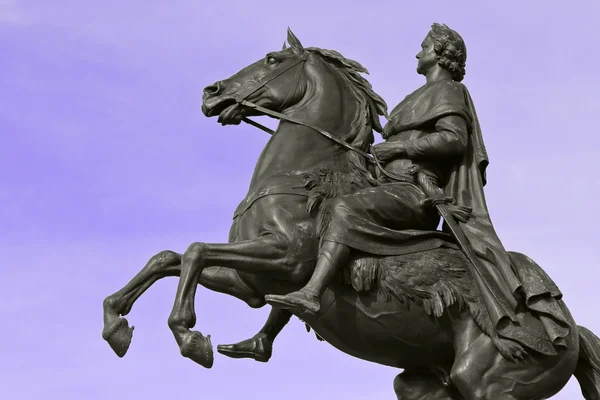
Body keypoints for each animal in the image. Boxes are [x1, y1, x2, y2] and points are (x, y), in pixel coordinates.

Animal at [103, 29, 600, 398]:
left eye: (270, 59)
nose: (212, 92)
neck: (302, 175)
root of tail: (571, 331)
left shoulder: (284, 259)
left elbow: (194, 250)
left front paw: (189, 336)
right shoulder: (252, 282)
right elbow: (170, 257)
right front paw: (115, 323)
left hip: (487, 383)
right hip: (423, 383)